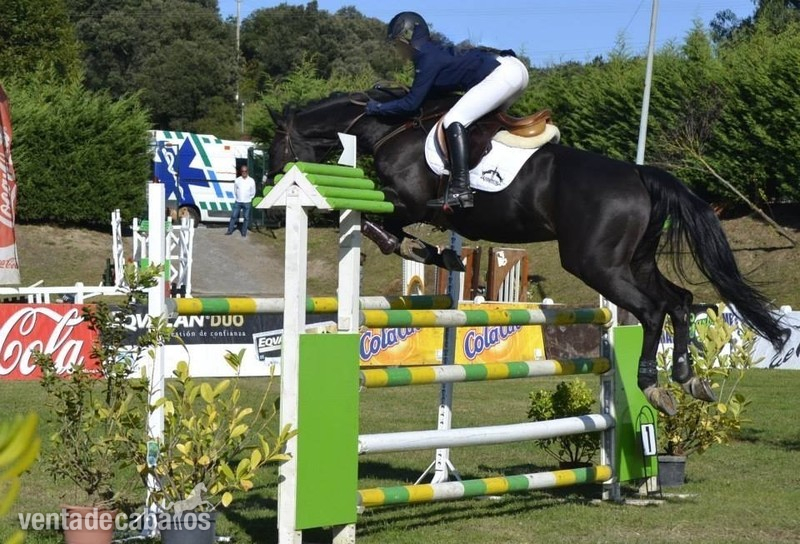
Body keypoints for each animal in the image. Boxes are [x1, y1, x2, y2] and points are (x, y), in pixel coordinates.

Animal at [267, 89, 788, 415]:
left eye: (273, 148)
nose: (271, 218)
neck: (387, 129)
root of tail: (640, 174)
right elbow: (389, 231)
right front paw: (444, 256)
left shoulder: (405, 202)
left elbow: (379, 226)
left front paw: (427, 251)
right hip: (633, 261)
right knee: (679, 301)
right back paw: (686, 378)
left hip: (596, 263)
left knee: (653, 309)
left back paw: (653, 385)